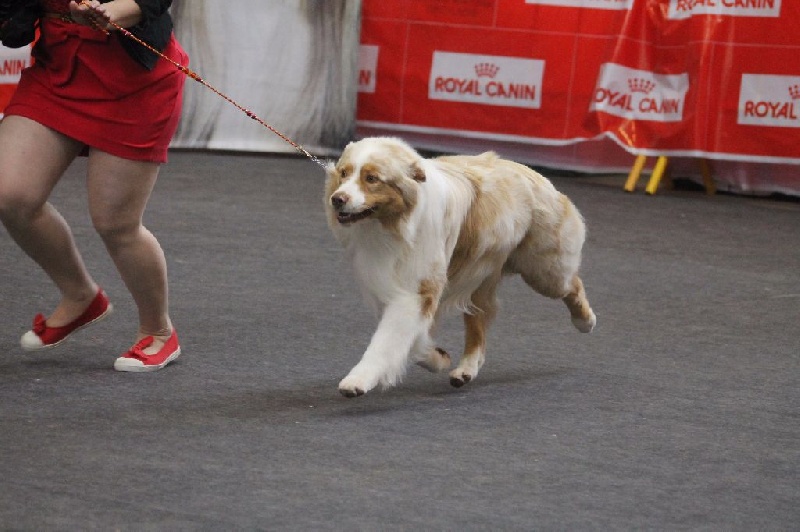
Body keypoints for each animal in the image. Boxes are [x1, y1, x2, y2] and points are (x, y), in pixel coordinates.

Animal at [324, 137, 596, 397]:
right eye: (344, 173)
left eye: (371, 179)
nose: (337, 199)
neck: (394, 225)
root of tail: (532, 173)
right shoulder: (389, 288)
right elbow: (410, 340)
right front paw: (437, 358)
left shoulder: (416, 290)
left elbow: (386, 342)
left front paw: (357, 381)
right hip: (480, 274)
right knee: (479, 321)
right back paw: (465, 370)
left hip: (543, 269)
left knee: (572, 284)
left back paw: (585, 321)